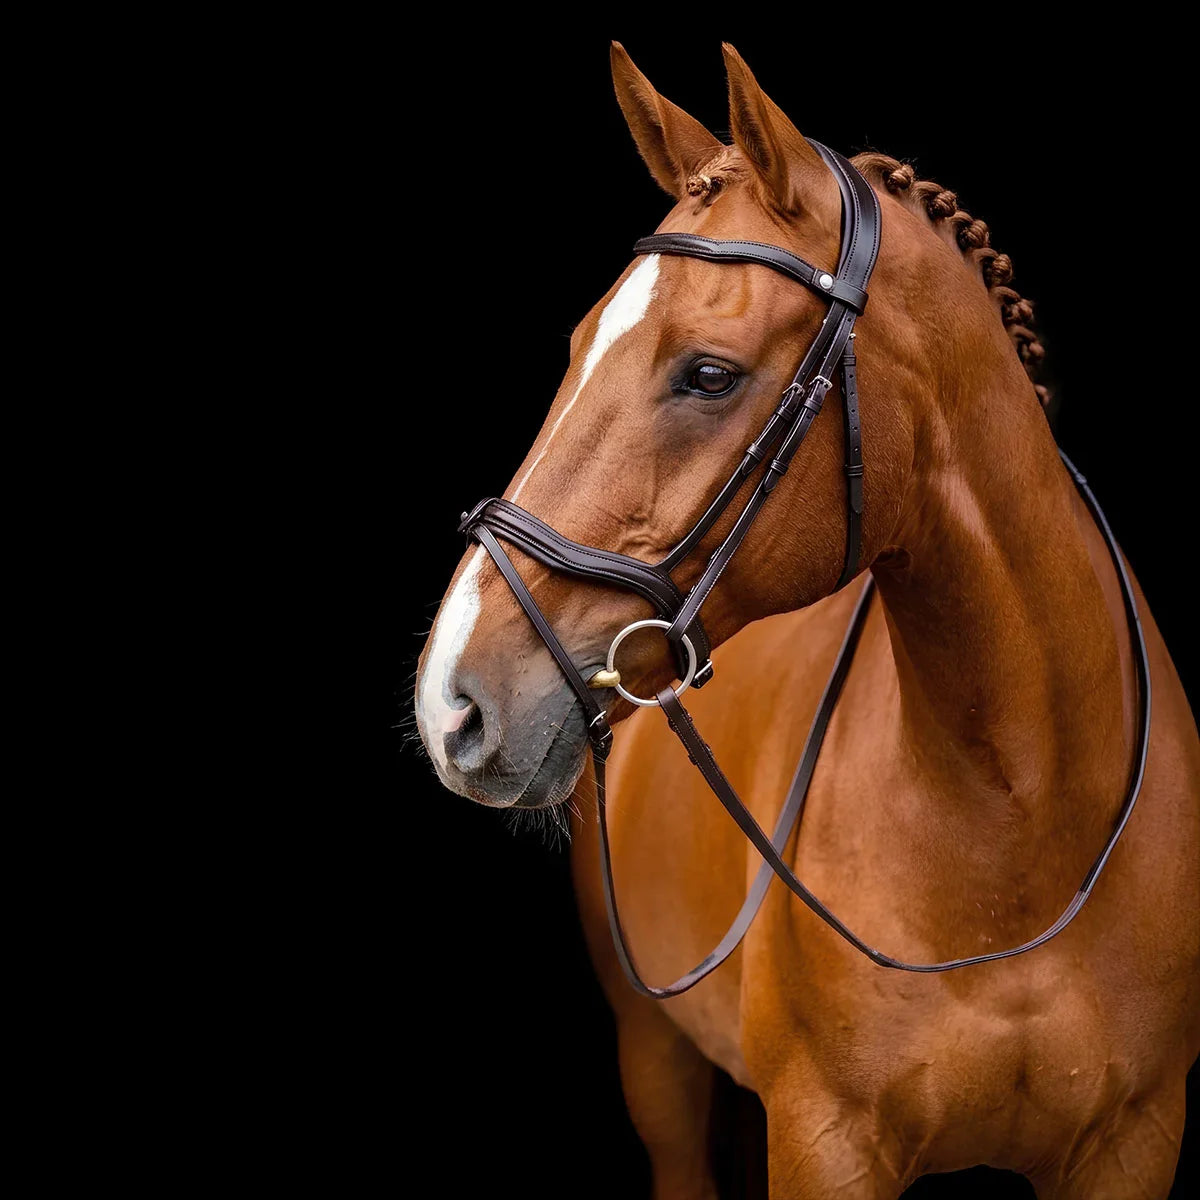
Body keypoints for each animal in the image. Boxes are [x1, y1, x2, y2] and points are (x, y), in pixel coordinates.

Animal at [415, 42, 1200, 1199]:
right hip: (656, 1060)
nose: (452, 704)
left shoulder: (1134, 1142)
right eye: (578, 343)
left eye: (707, 373)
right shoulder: (825, 1142)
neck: (1019, 821)